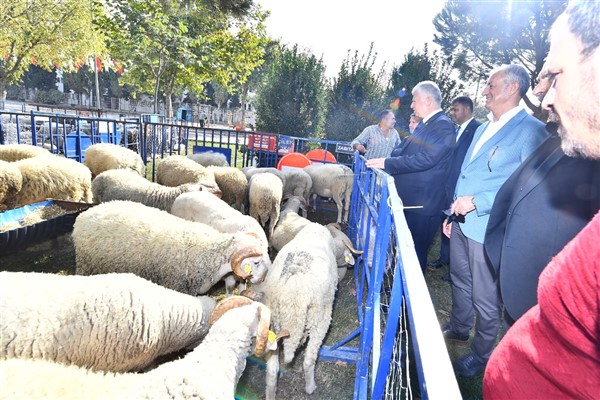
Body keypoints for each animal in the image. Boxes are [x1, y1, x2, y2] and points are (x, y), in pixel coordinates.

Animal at [252, 223, 338, 398]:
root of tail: (294, 293)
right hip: (320, 319)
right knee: (309, 359)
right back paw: (310, 387)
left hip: (271, 322)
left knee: (272, 370)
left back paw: (270, 395)